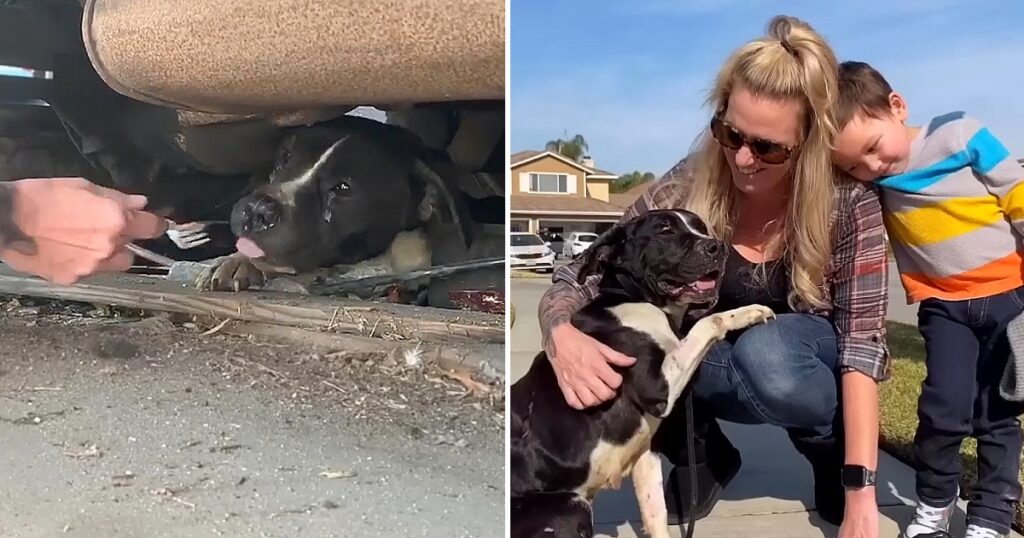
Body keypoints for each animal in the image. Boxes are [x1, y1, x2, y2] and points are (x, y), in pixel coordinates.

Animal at [512, 209, 774, 536]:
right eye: (664, 230)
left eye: (700, 227)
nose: (718, 247)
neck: (633, 298)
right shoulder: (656, 389)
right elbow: (709, 322)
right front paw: (747, 313)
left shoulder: (645, 454)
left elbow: (656, 515)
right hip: (569, 507)